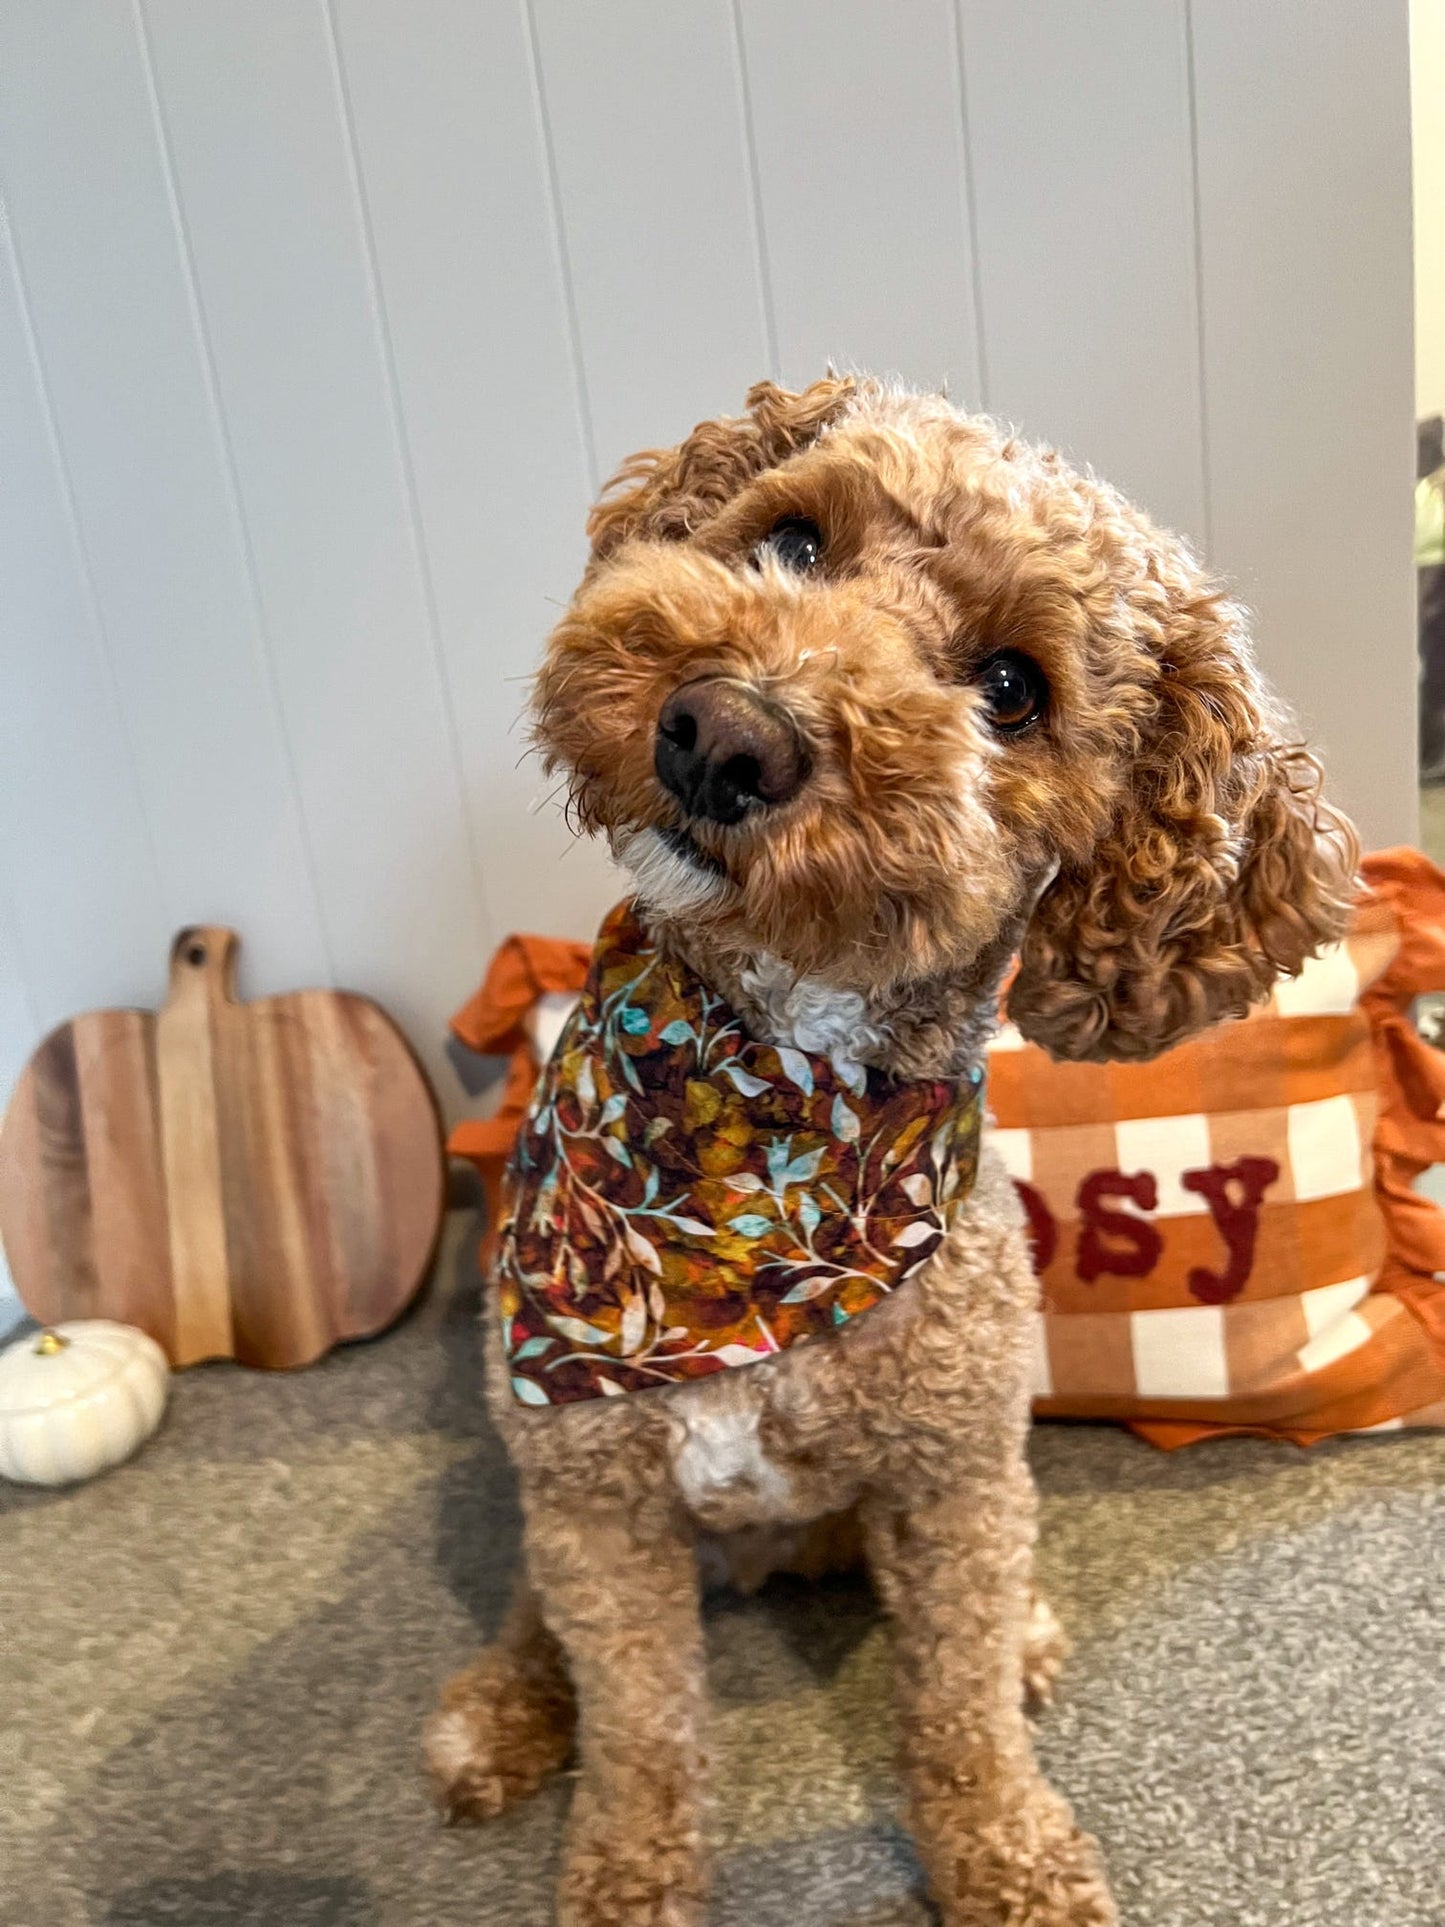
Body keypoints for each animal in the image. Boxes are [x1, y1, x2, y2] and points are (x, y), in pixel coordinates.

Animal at [423, 379, 1364, 1927]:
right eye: (796, 541)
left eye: (1012, 688)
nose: (722, 734)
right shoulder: (597, 1493)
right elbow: (640, 1727)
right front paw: (625, 1874)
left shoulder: (954, 1476)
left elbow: (959, 1708)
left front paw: (1011, 1857)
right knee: (528, 1609)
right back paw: (500, 1707)